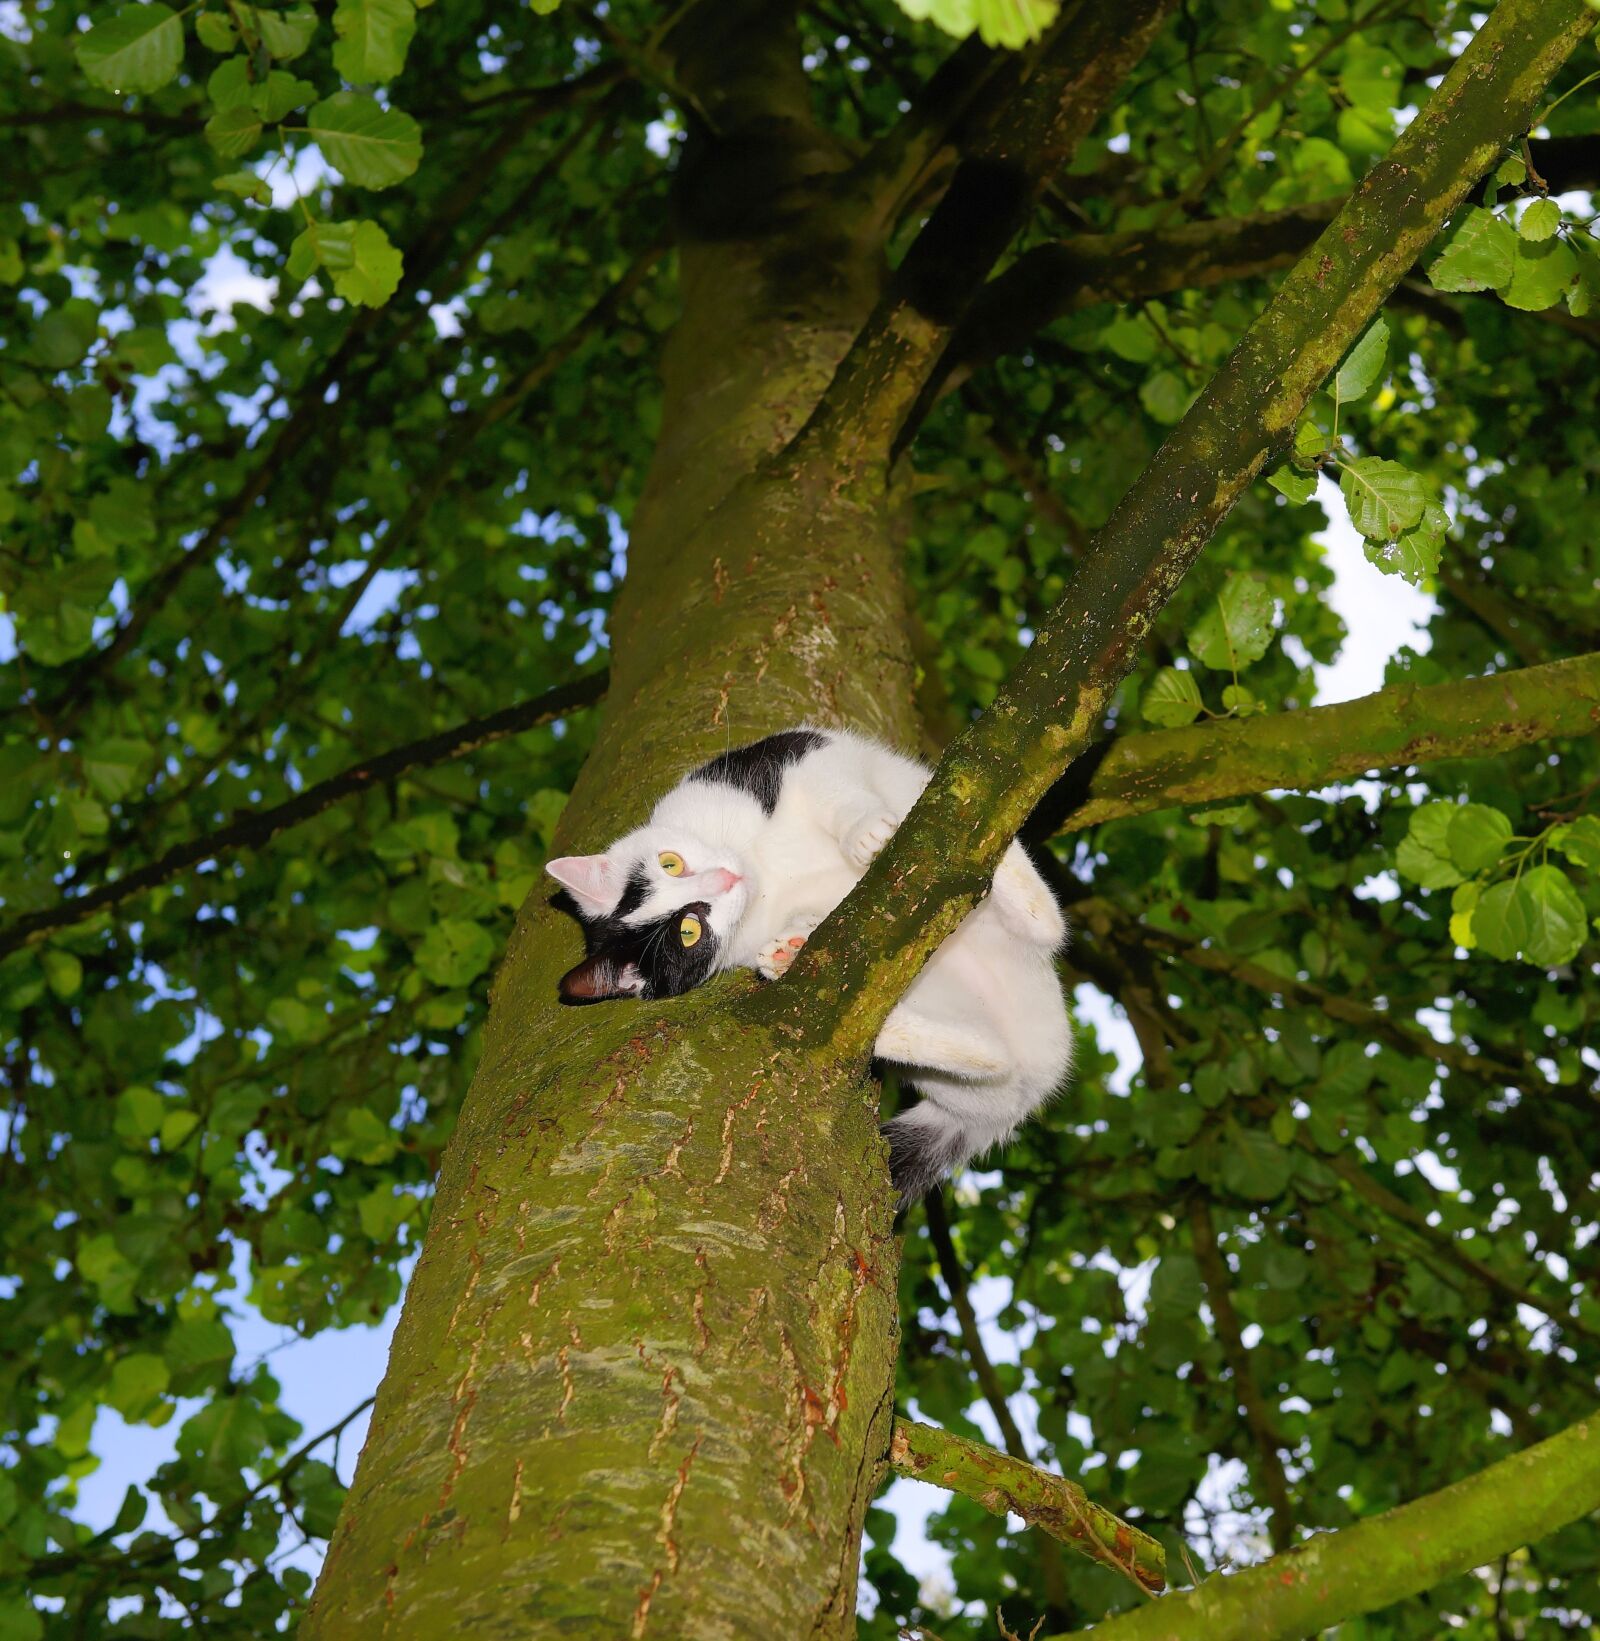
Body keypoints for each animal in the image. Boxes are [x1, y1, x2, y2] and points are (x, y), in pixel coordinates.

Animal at [548, 725, 1076, 1201]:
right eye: (689, 933)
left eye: (670, 862)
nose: (726, 879)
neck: (762, 874)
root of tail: (1041, 1070)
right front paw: (791, 945)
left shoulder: (791, 754)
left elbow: (830, 782)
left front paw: (865, 832)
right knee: (991, 1057)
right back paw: (870, 1021)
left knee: (1046, 924)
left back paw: (996, 840)